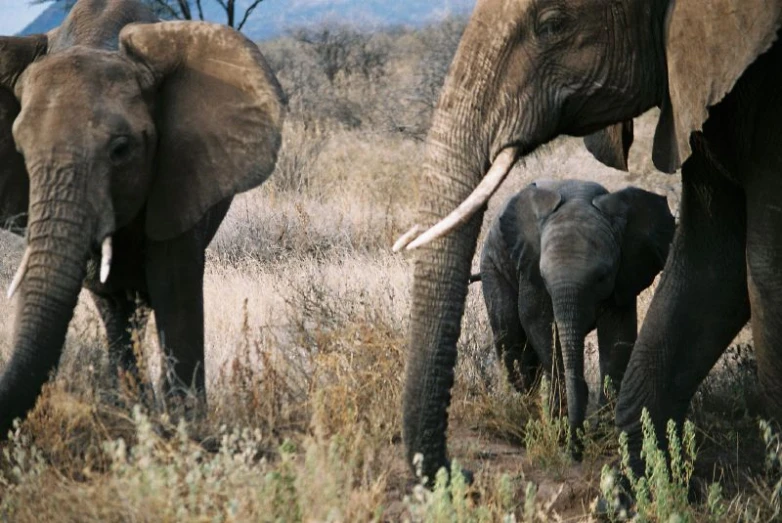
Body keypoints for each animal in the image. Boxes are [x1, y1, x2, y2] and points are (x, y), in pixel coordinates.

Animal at [0, 0, 284, 436]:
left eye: (121, 149)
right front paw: (141, 417)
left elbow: (174, 284)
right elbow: (108, 294)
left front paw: (187, 428)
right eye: (20, 149)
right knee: (118, 308)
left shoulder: (180, 171)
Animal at [474, 179, 676, 454]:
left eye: (602, 277)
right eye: (544, 276)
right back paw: (524, 409)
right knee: (510, 339)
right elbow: (537, 321)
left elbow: (618, 334)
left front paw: (605, 438)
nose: (575, 449)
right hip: (493, 263)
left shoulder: (623, 274)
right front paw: (560, 430)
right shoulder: (530, 269)